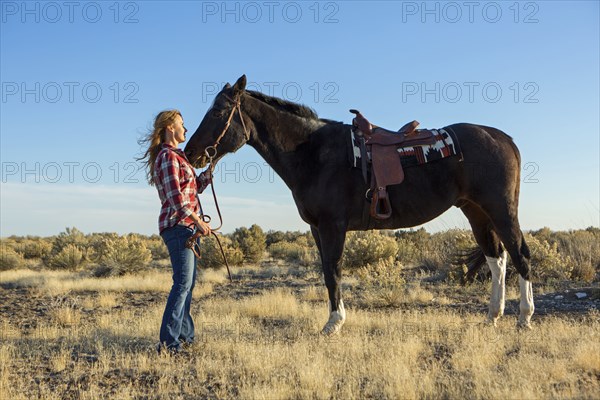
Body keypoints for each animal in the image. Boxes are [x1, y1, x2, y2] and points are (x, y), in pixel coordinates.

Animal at [184, 75, 536, 334]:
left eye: (218, 113)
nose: (191, 153)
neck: (312, 151)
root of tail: (504, 139)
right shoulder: (317, 229)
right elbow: (328, 270)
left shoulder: (332, 226)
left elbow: (333, 270)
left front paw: (333, 324)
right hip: (476, 212)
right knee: (496, 258)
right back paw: (492, 315)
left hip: (500, 209)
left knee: (519, 254)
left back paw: (524, 317)